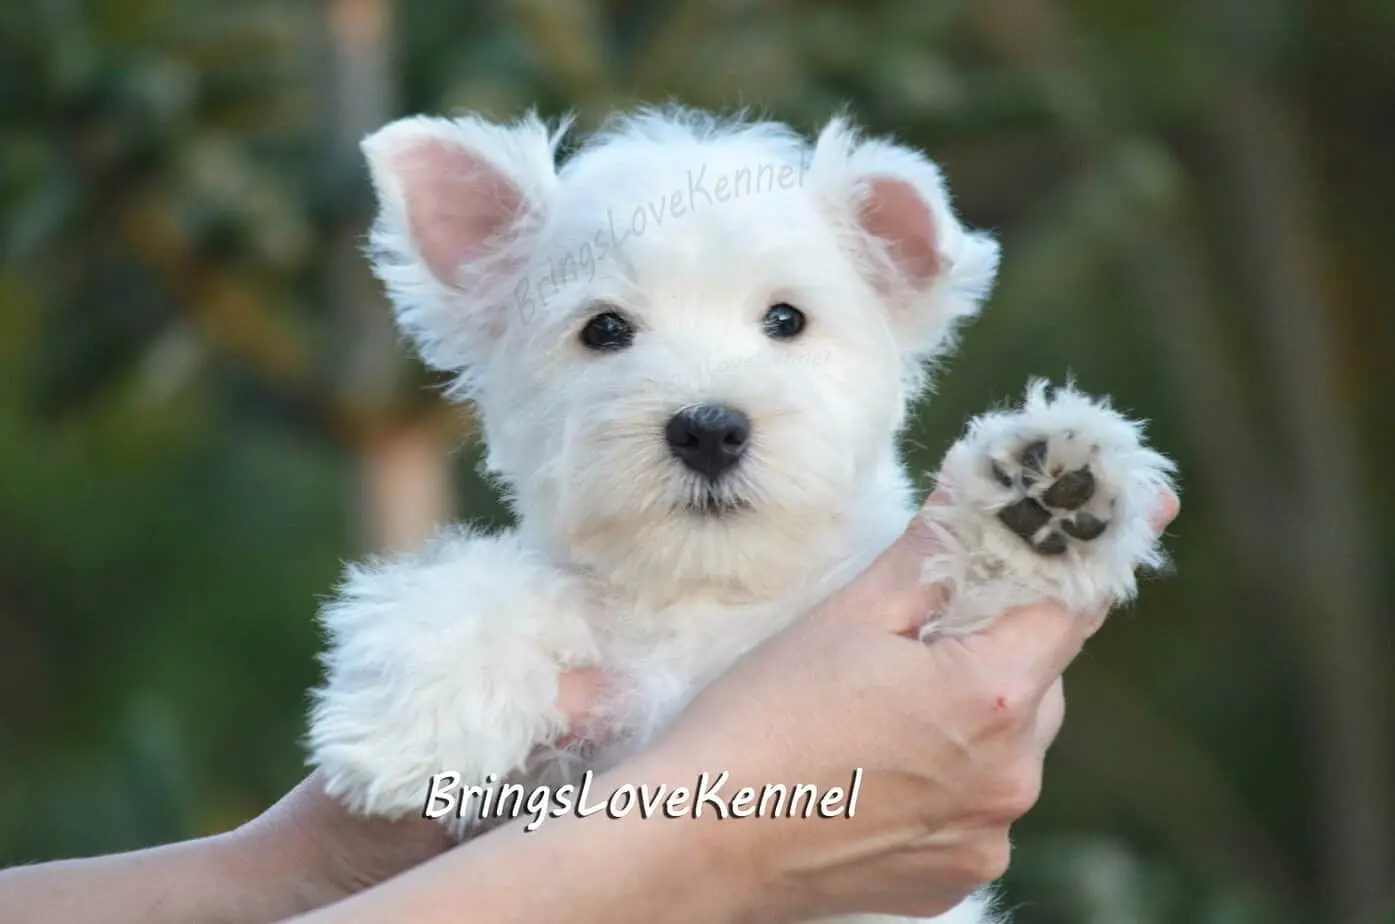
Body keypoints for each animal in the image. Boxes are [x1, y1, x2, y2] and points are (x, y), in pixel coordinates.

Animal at [306, 106, 1177, 924]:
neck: (711, 590)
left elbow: (967, 586)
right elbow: (474, 588)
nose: (707, 429)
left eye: (786, 319)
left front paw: (1039, 503)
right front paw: (413, 727)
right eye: (604, 328)